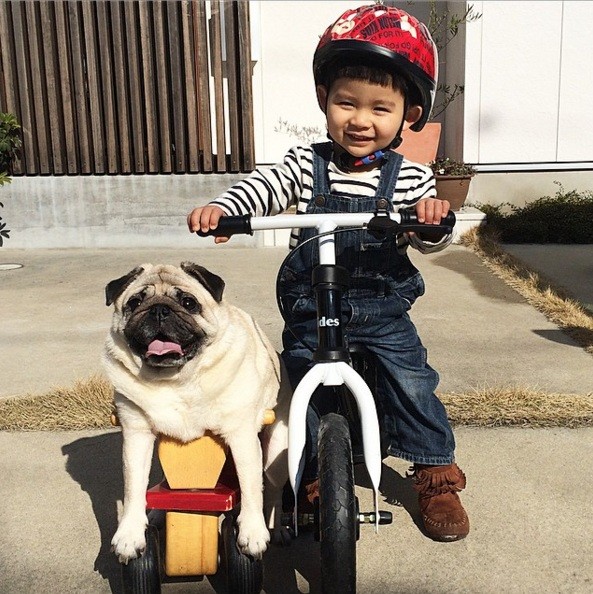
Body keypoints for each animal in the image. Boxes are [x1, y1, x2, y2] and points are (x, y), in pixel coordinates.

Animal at [103, 262, 290, 560]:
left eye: (188, 303)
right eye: (135, 303)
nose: (159, 310)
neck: (174, 380)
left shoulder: (242, 437)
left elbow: (251, 487)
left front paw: (252, 532)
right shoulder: (136, 434)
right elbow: (133, 486)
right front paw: (130, 534)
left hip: (276, 450)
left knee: (272, 488)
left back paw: (276, 528)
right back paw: (156, 514)